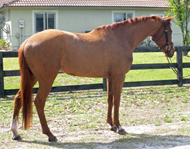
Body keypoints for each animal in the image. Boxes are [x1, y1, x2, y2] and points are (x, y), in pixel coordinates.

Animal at [10, 15, 175, 142]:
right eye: (170, 31)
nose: (171, 51)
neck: (121, 38)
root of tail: (28, 41)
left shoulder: (110, 77)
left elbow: (110, 99)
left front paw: (111, 125)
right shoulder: (119, 76)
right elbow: (117, 100)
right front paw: (120, 127)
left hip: (32, 78)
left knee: (18, 99)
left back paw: (15, 133)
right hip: (46, 79)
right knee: (39, 102)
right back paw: (50, 135)